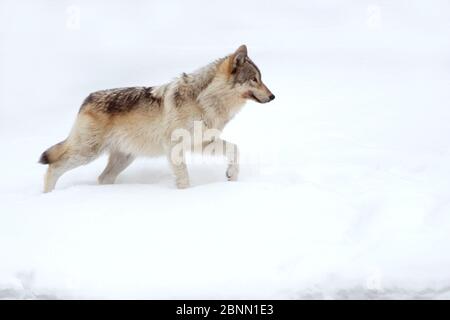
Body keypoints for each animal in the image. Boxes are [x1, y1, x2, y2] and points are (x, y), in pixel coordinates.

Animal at [39, 43, 274, 191]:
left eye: (260, 78)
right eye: (254, 79)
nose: (273, 96)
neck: (204, 101)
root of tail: (86, 99)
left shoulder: (201, 143)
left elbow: (235, 149)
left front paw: (232, 176)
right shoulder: (175, 147)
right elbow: (183, 176)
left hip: (123, 158)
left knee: (102, 178)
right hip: (87, 153)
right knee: (53, 167)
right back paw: (49, 196)